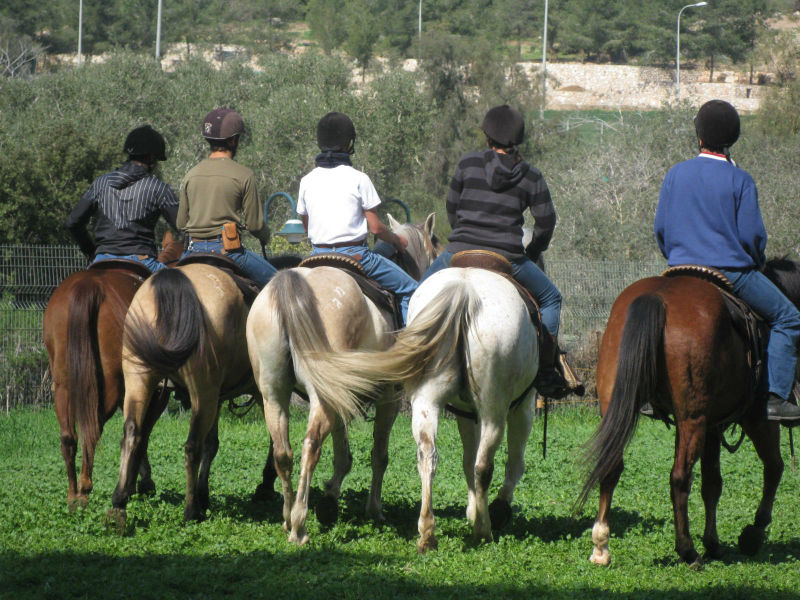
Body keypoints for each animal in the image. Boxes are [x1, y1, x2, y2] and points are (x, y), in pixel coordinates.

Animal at [43, 232, 184, 508]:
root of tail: (88, 287)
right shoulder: (156, 391)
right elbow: (142, 431)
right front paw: (140, 483)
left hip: (63, 383)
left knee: (69, 435)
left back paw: (72, 494)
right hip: (107, 384)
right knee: (93, 428)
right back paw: (84, 490)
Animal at [247, 213, 440, 548]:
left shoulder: (341, 395)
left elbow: (343, 455)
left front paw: (329, 501)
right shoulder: (388, 398)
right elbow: (379, 455)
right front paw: (373, 509)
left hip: (274, 393)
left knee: (283, 452)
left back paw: (287, 516)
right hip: (321, 398)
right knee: (310, 445)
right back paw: (299, 524)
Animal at [304, 266, 540, 552]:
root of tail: (464, 291)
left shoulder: (466, 414)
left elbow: (466, 459)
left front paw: (472, 510)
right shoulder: (522, 406)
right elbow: (513, 462)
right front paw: (496, 509)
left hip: (428, 401)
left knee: (428, 455)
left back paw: (427, 532)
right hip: (494, 411)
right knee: (484, 466)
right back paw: (483, 531)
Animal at [580, 258, 800, 568]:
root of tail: (657, 296)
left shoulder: (712, 426)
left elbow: (713, 483)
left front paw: (714, 543)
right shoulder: (758, 420)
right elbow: (773, 468)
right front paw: (752, 534)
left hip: (624, 407)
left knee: (611, 466)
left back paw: (601, 546)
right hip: (692, 419)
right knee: (680, 477)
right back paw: (687, 550)